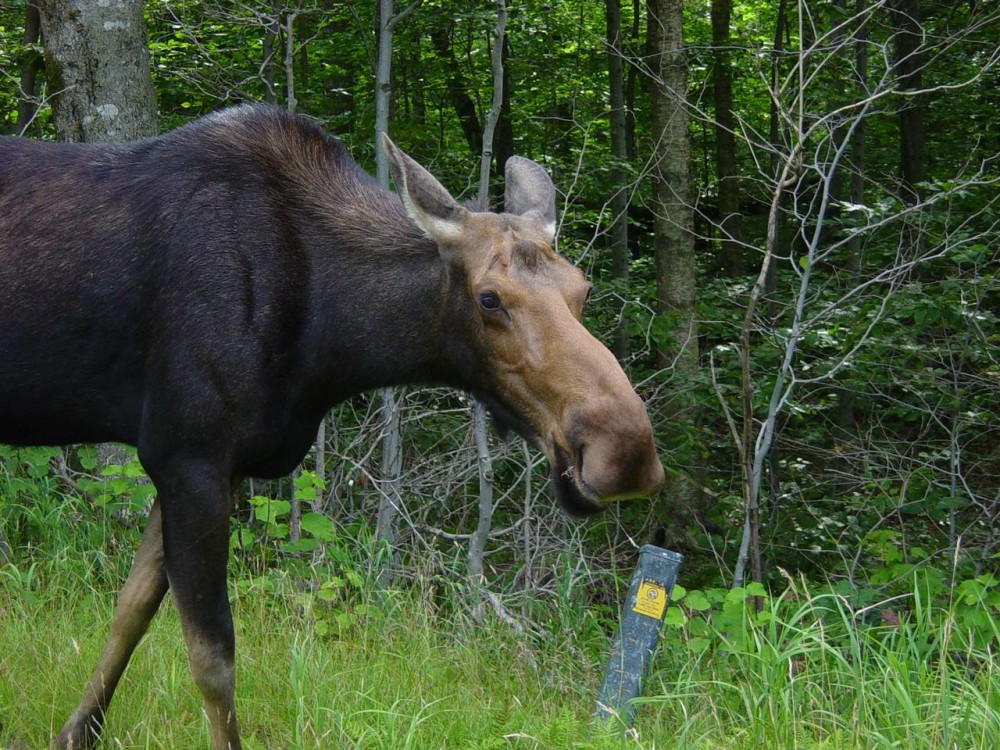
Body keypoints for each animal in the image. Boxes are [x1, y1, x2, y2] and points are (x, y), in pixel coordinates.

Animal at [0, 107, 664, 750]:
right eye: (489, 298)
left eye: (583, 289)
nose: (625, 450)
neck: (332, 339)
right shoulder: (187, 452)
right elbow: (212, 659)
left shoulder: (213, 463)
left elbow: (131, 607)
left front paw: (75, 733)